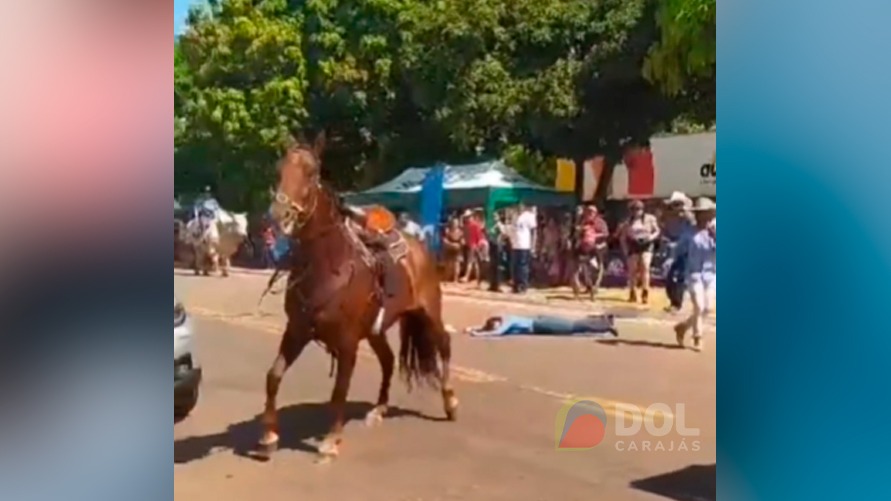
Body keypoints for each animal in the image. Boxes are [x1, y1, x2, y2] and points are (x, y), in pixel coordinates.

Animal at [254, 131, 456, 458]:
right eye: (278, 169)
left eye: (311, 172)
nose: (279, 215)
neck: (328, 266)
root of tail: (420, 246)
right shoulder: (296, 331)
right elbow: (274, 375)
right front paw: (269, 435)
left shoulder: (347, 341)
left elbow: (340, 390)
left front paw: (331, 440)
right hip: (376, 331)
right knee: (388, 360)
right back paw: (379, 409)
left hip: (429, 312)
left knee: (445, 345)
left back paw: (450, 402)